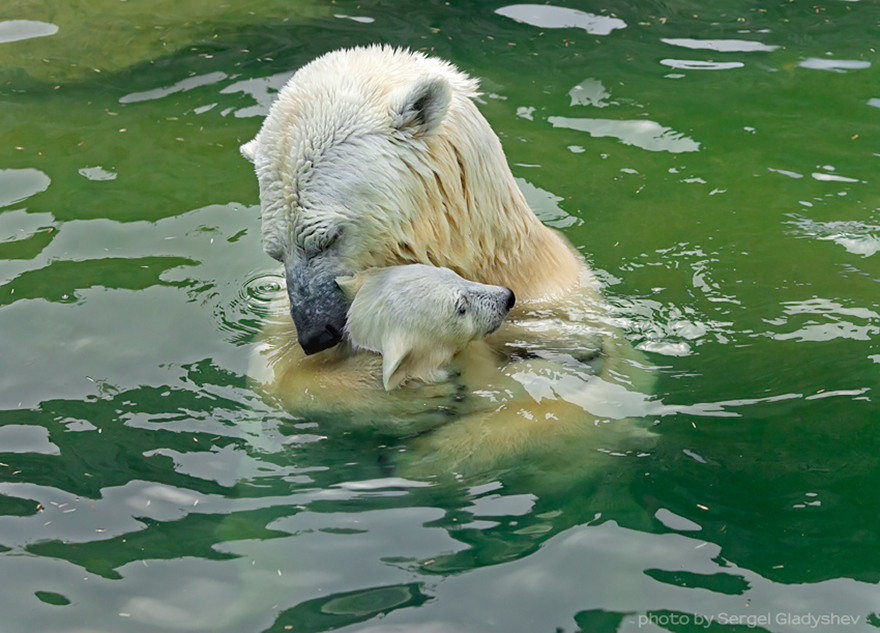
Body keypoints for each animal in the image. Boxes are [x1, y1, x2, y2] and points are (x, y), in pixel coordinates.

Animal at [242, 45, 652, 474]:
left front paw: (434, 452)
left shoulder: (562, 296)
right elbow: (272, 377)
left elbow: (606, 397)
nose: (314, 335)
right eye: (276, 250)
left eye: (325, 239)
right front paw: (402, 397)